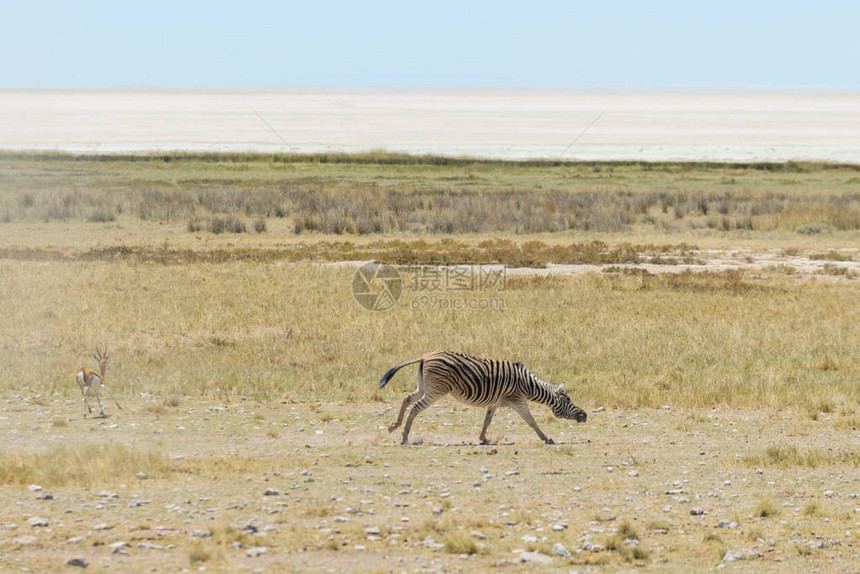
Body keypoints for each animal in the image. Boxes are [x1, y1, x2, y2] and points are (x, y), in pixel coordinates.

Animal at [380, 352, 588, 446]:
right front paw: (546, 438)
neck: (529, 386)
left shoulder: (494, 403)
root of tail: (425, 356)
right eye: (568, 400)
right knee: (415, 408)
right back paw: (405, 436)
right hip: (436, 390)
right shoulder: (518, 400)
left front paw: (483, 439)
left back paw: (394, 426)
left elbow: (487, 421)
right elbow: (531, 421)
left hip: (425, 386)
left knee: (407, 400)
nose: (585, 415)